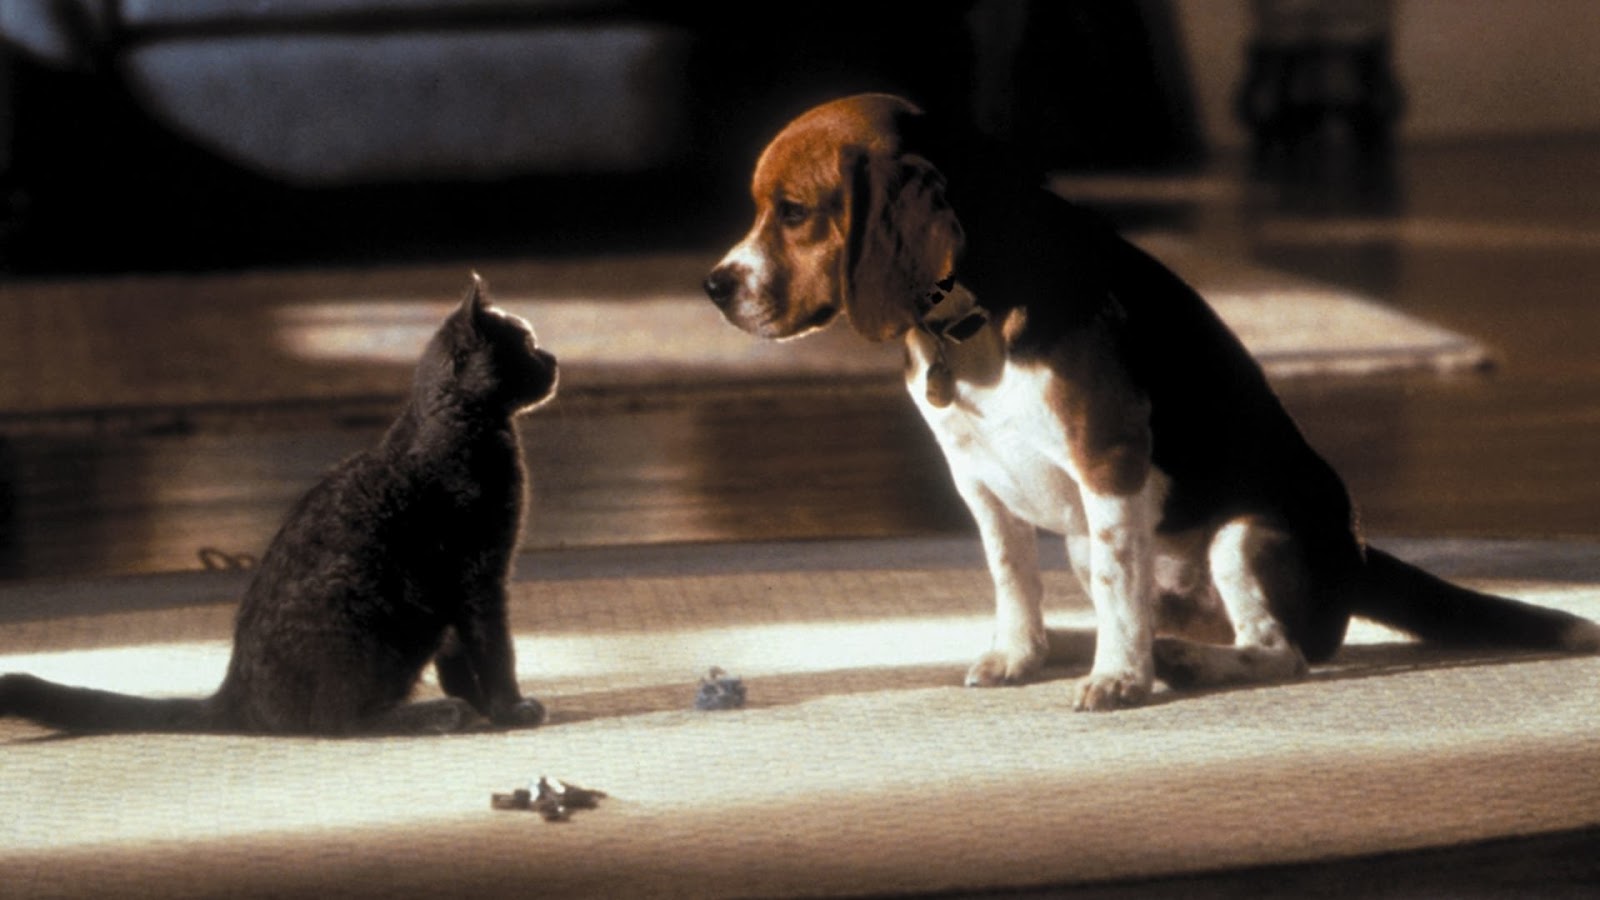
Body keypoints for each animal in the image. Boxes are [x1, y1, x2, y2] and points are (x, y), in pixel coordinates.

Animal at [710, 92, 1600, 707]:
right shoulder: (977, 481)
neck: (967, 315)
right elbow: (1012, 577)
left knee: (1277, 651)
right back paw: (1092, 645)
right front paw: (1021, 653)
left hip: (1244, 537)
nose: (714, 287)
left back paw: (1172, 660)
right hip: (1092, 538)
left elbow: (1117, 586)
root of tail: (1358, 557)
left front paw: (1121, 681)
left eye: (794, 213)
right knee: (1152, 607)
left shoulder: (1109, 459)